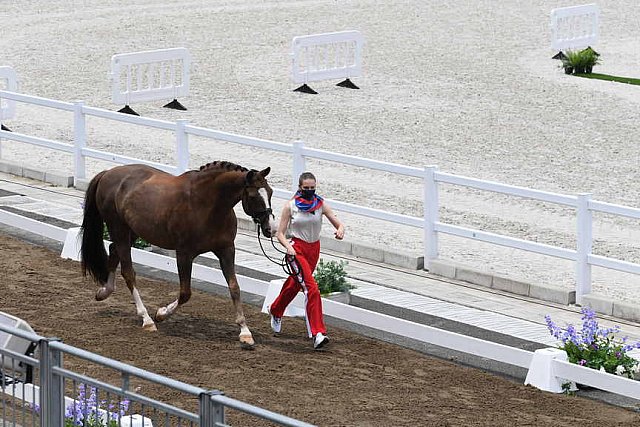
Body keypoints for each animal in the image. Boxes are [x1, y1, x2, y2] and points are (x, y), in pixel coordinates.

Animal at [80, 162, 276, 350]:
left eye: (270, 192)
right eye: (253, 196)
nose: (270, 229)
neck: (207, 204)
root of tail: (108, 173)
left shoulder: (227, 250)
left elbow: (234, 288)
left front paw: (245, 332)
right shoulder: (184, 254)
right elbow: (185, 293)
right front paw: (161, 314)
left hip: (132, 231)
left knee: (113, 251)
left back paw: (104, 292)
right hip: (119, 229)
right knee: (128, 272)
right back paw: (147, 319)